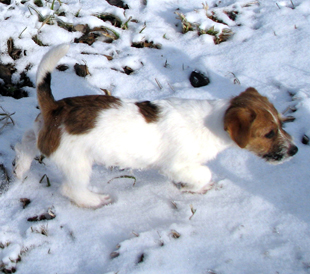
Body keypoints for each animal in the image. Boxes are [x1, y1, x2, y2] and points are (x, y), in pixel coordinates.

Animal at [12, 44, 298, 208]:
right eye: (269, 133)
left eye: (281, 124)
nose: (294, 150)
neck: (214, 120)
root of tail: (55, 108)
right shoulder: (178, 165)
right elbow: (204, 174)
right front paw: (195, 187)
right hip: (77, 164)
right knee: (72, 188)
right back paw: (95, 200)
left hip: (41, 133)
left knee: (25, 143)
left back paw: (20, 169)